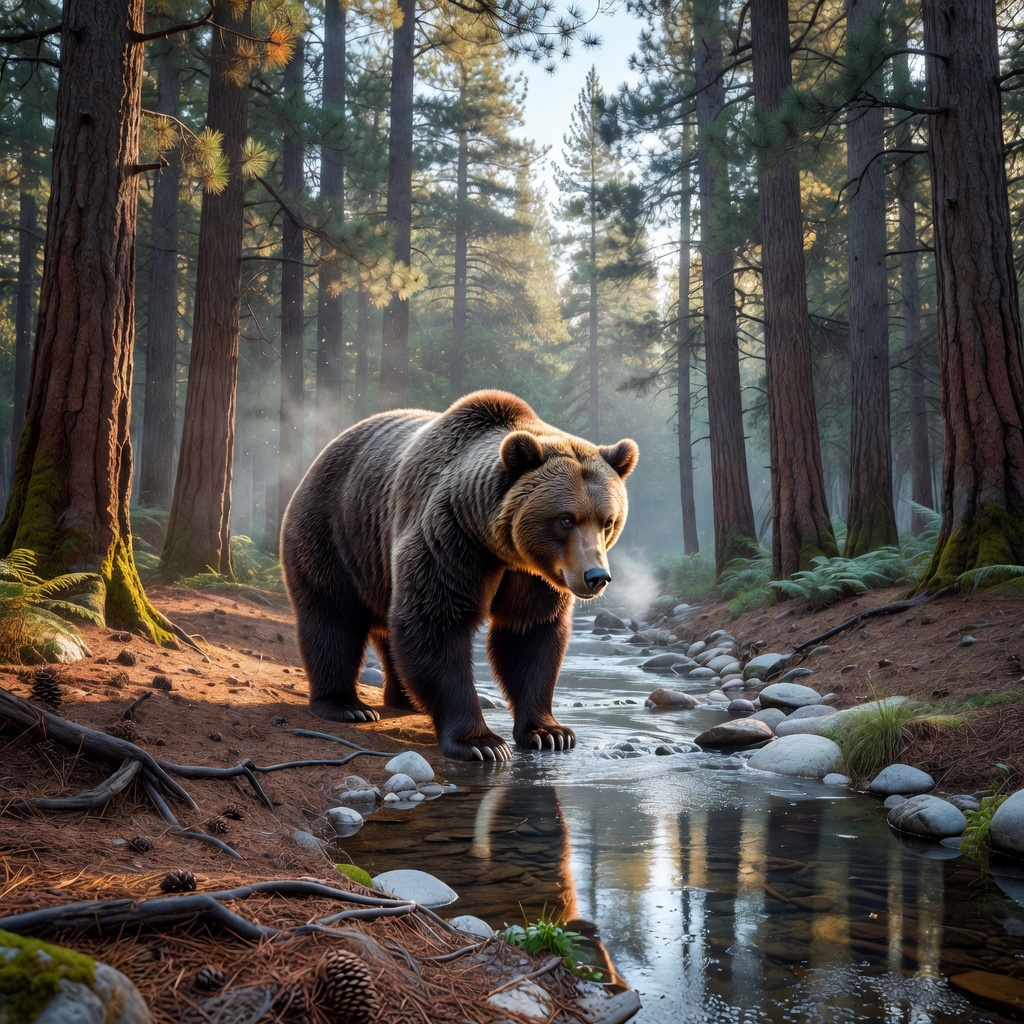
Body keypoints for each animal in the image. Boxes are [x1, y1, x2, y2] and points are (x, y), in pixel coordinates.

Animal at [279, 390, 638, 762]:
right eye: (566, 519)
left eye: (607, 521)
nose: (596, 576)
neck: (499, 547)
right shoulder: (449, 540)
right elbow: (436, 623)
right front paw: (482, 743)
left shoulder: (532, 576)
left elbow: (528, 634)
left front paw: (549, 732)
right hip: (337, 532)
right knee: (333, 616)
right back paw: (347, 706)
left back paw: (404, 698)